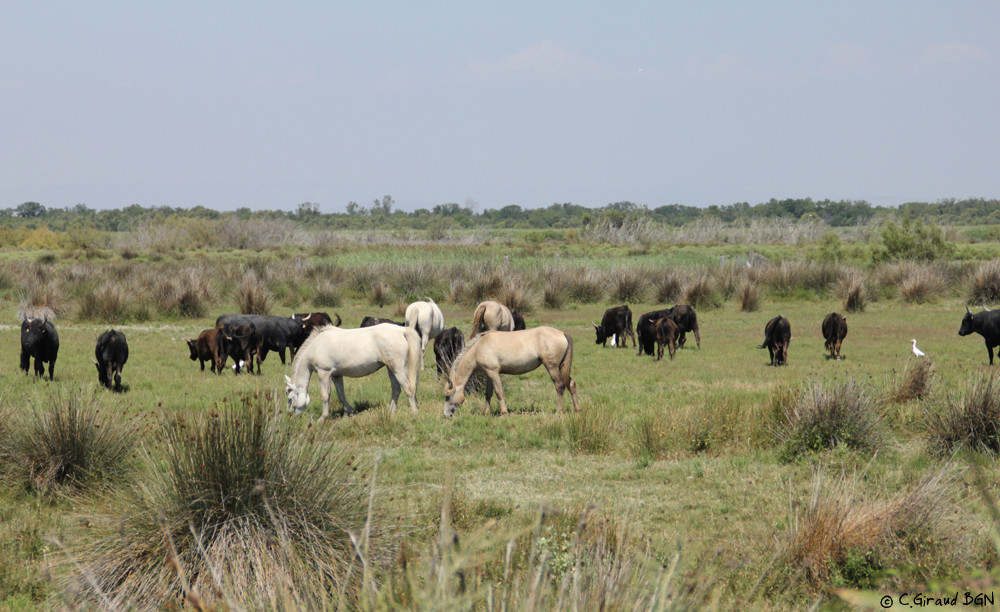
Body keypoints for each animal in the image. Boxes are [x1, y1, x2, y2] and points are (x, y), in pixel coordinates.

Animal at [284, 322, 420, 418]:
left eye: (290, 398)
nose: (290, 415)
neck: (316, 346)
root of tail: (401, 330)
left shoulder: (324, 373)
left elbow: (325, 396)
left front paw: (322, 418)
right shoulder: (336, 375)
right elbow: (341, 396)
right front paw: (349, 413)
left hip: (398, 369)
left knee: (408, 388)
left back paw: (414, 413)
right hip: (391, 368)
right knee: (396, 389)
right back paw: (391, 412)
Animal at [444, 328, 580, 418]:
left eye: (448, 396)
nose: (446, 414)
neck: (479, 347)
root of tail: (562, 333)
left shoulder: (493, 373)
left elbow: (499, 393)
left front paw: (504, 412)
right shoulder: (489, 374)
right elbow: (488, 394)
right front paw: (485, 412)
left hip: (552, 367)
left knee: (560, 385)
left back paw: (558, 411)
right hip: (561, 367)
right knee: (571, 384)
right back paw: (577, 409)